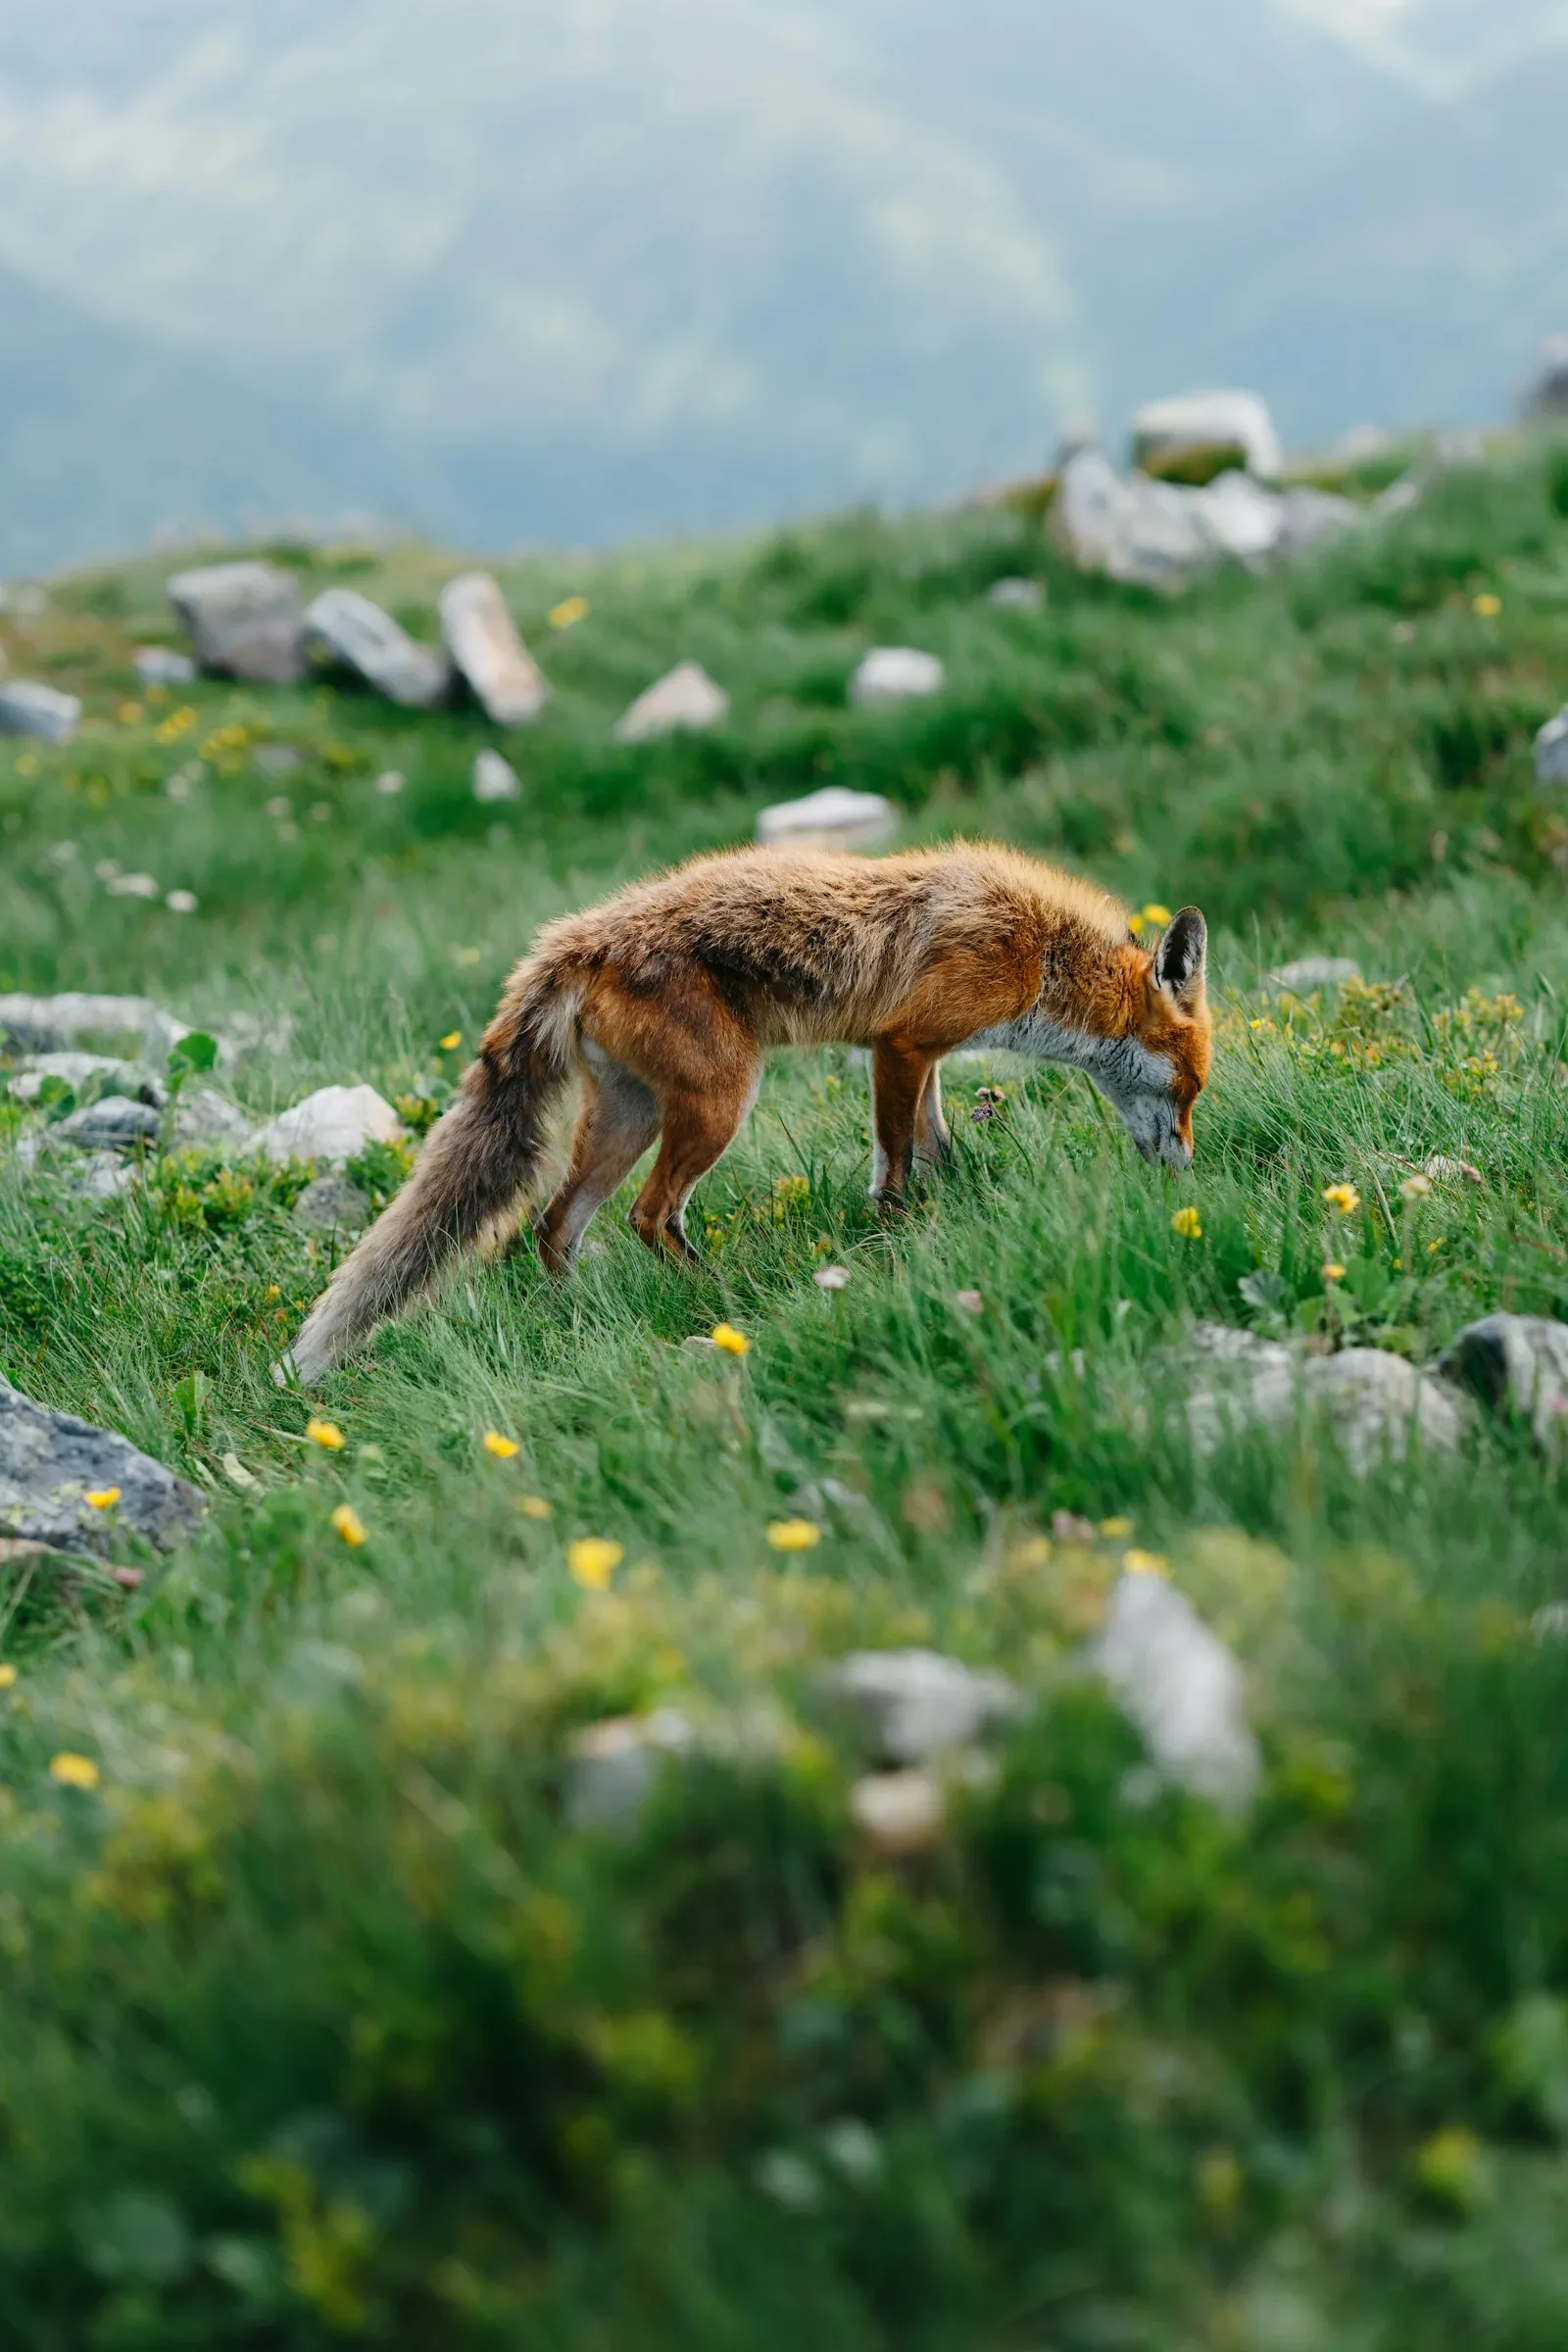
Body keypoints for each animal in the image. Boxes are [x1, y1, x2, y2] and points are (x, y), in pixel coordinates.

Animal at [284, 841, 1211, 1382]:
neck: (1040, 953)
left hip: (631, 1117)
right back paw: (720, 1296)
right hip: (722, 1102)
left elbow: (936, 1149)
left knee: (556, 1225)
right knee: (650, 1216)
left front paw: (957, 1206)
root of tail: (578, 937)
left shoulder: (920, 1058)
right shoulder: (901, 1046)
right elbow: (894, 1171)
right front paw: (897, 1241)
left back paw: (578, 1318)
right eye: (1190, 1089)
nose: (1185, 1171)